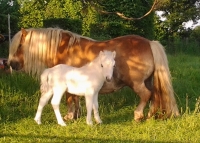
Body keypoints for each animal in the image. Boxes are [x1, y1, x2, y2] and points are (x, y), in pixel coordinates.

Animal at [7, 27, 180, 121]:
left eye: (19, 46)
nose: (11, 64)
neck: (63, 49)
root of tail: (149, 43)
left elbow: (69, 99)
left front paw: (69, 117)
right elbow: (75, 99)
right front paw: (75, 115)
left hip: (137, 83)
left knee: (146, 95)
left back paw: (138, 115)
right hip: (148, 80)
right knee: (154, 95)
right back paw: (150, 115)